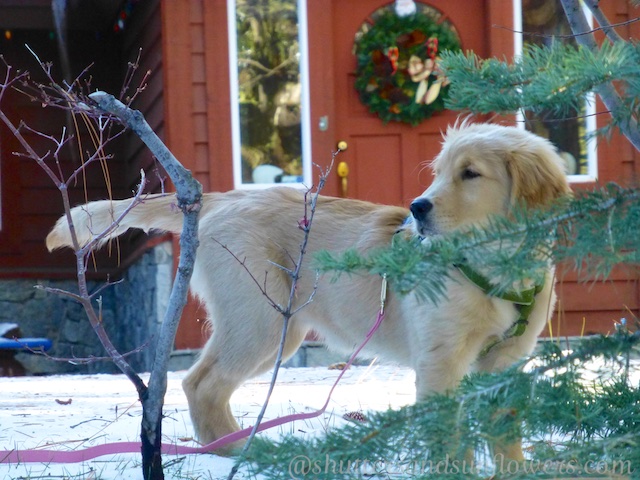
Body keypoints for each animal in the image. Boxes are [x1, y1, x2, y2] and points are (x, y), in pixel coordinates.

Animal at [48, 122, 568, 456]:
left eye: (470, 174)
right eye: (440, 172)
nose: (416, 209)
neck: (494, 269)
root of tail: (223, 197)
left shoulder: (505, 365)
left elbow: (506, 439)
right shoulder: (442, 363)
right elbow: (447, 440)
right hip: (260, 318)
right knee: (201, 383)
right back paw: (238, 451)